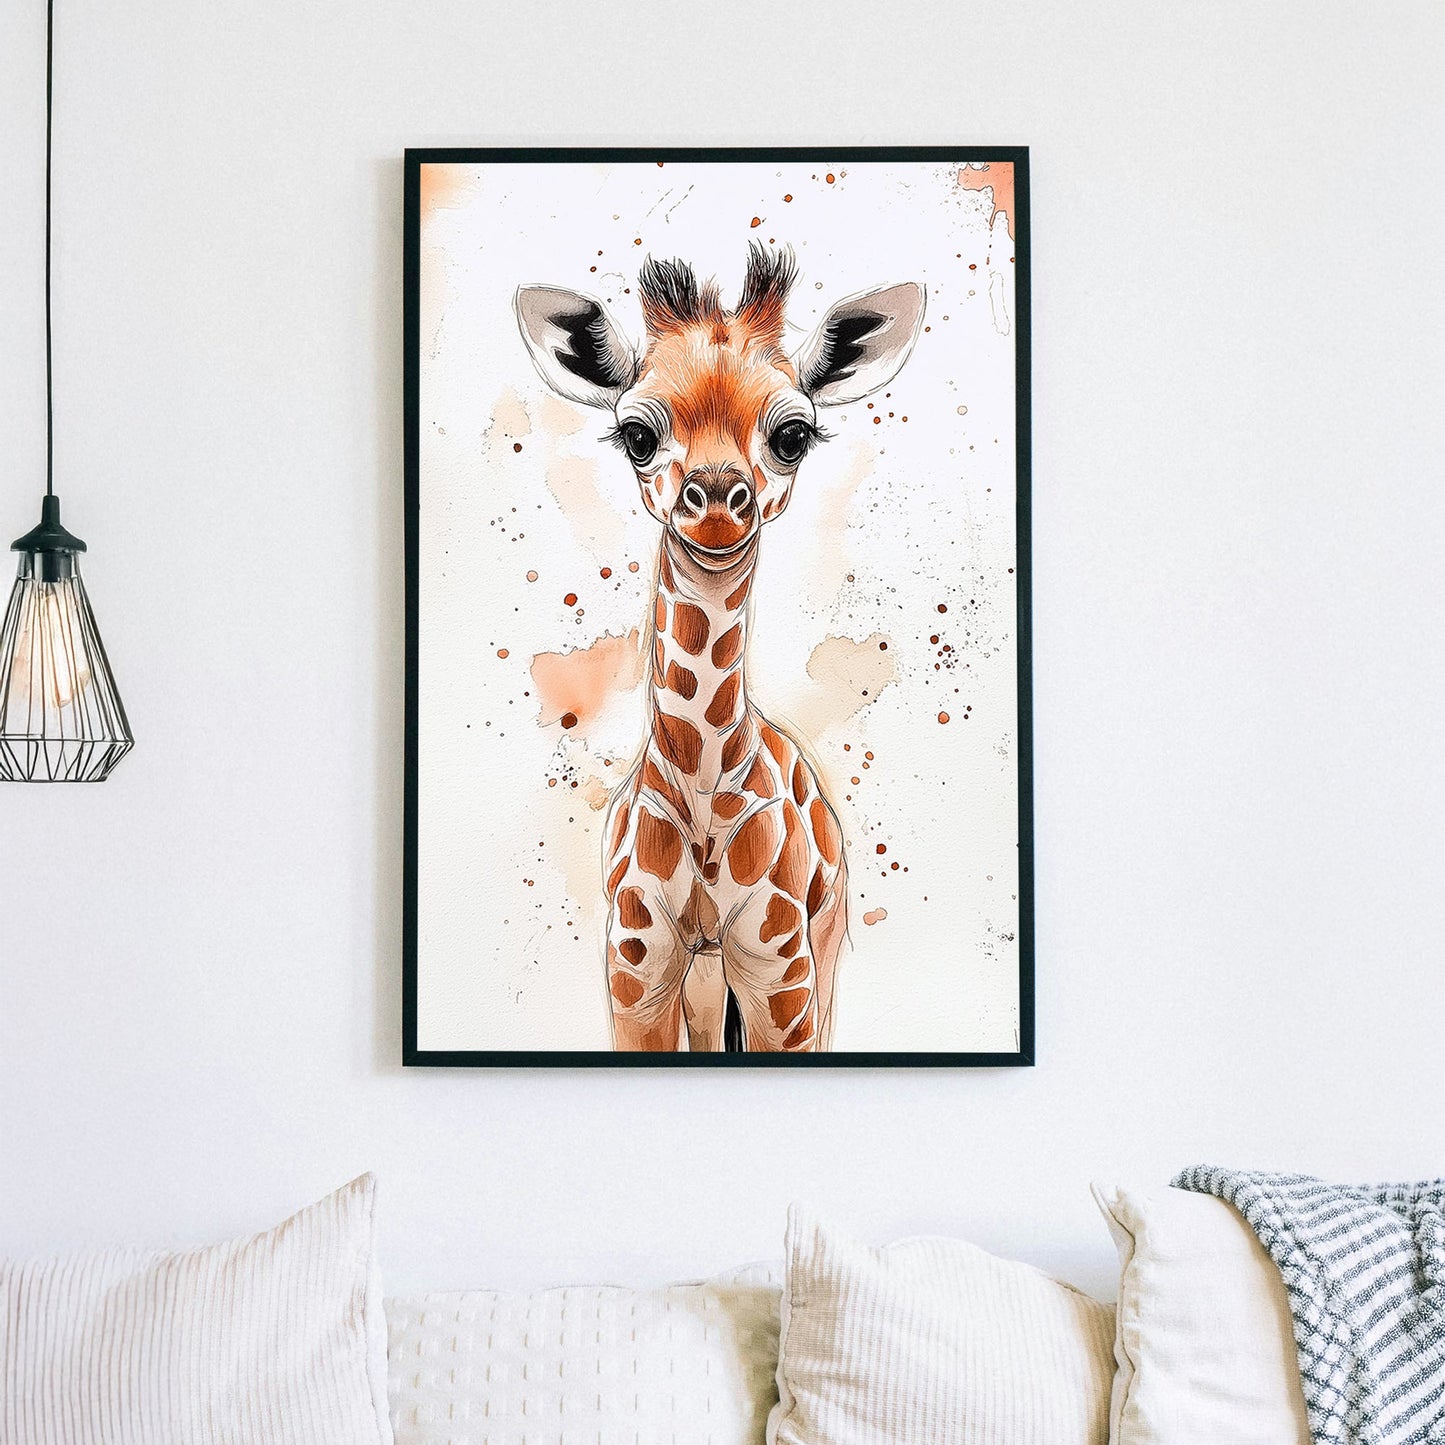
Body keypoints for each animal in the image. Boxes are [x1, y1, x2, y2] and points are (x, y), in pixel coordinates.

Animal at [517, 243, 924, 1051]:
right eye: (638, 435)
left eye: (792, 435)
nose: (713, 499)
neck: (704, 790)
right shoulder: (636, 968)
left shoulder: (779, 970)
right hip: (708, 981)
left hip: (817, 945)